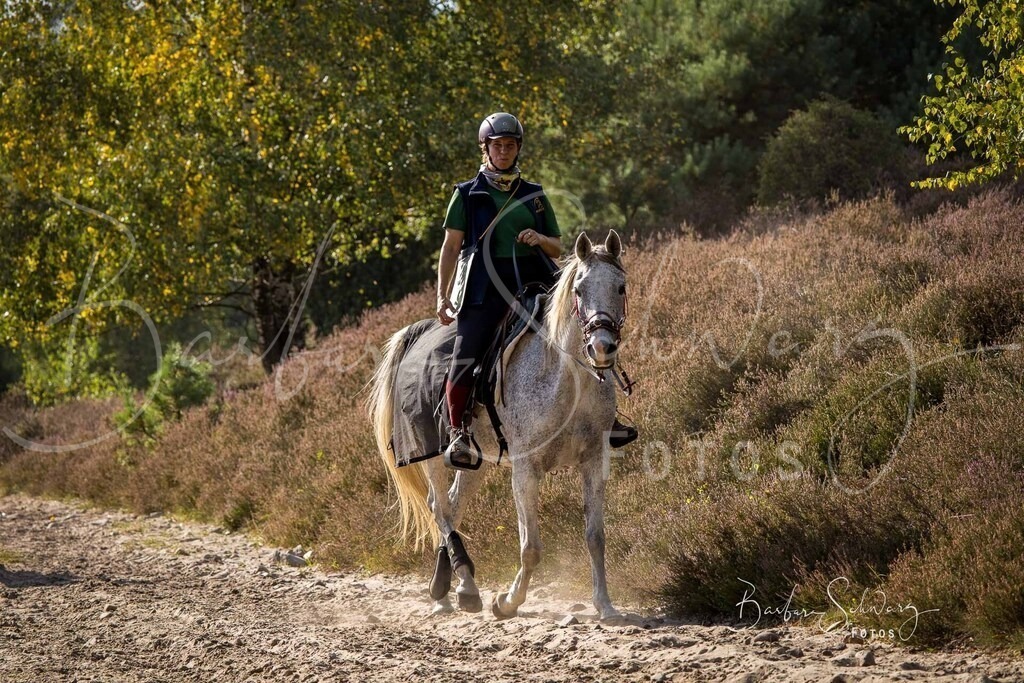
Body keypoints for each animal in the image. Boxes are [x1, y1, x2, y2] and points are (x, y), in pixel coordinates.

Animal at [367, 230, 628, 620]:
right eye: (579, 290)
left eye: (621, 287)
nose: (602, 347)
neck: (565, 379)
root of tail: (417, 333)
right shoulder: (525, 469)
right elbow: (531, 547)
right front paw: (507, 602)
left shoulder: (595, 460)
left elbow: (596, 537)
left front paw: (606, 606)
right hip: (431, 453)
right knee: (439, 507)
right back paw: (465, 588)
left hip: (474, 461)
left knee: (453, 503)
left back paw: (448, 589)